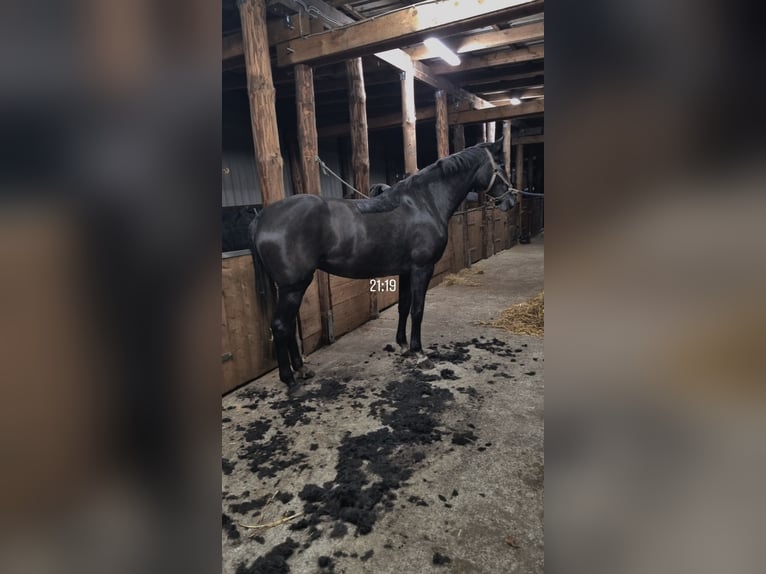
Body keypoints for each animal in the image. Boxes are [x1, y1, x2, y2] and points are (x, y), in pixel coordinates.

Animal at [250, 138, 514, 389]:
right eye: (501, 165)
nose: (510, 201)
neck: (424, 202)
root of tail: (263, 217)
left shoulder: (406, 271)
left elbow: (404, 306)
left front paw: (404, 346)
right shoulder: (422, 269)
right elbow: (418, 309)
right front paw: (419, 353)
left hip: (289, 288)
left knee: (289, 326)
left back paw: (301, 369)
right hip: (293, 287)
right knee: (280, 326)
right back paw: (289, 379)